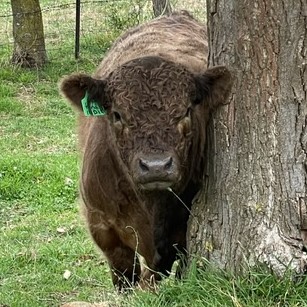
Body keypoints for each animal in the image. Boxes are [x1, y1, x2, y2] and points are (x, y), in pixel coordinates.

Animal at [60, 10, 233, 290]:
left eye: (186, 112)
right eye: (117, 115)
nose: (156, 166)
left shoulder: (177, 239)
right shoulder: (103, 228)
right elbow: (126, 277)